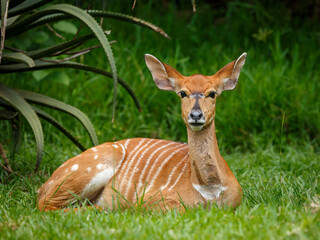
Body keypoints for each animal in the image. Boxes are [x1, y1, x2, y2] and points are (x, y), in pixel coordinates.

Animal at [37, 52, 248, 210]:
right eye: (182, 93)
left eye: (212, 93)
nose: (196, 115)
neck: (210, 190)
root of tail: (44, 185)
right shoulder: (154, 200)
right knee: (47, 205)